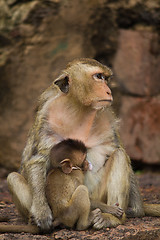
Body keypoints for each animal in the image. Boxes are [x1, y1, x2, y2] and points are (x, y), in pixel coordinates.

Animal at [6, 57, 160, 231]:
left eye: (106, 78)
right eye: (98, 76)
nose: (109, 91)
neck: (79, 107)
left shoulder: (107, 116)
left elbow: (117, 149)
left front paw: (136, 209)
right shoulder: (47, 114)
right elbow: (37, 159)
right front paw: (41, 212)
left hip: (98, 196)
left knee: (119, 156)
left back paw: (111, 218)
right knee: (13, 177)